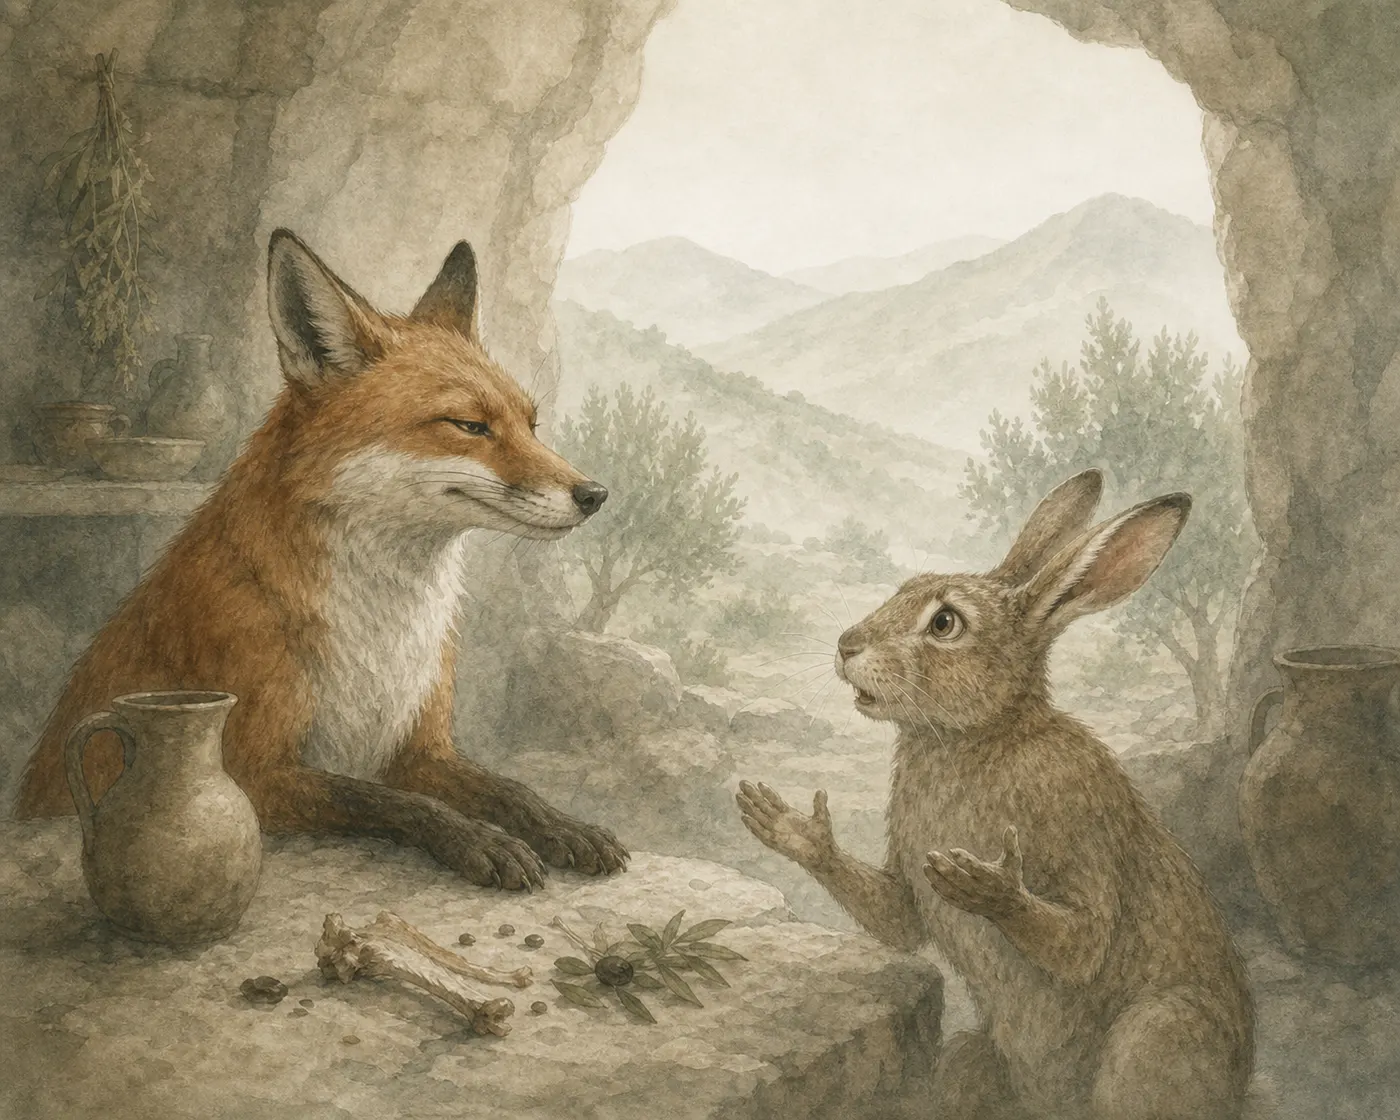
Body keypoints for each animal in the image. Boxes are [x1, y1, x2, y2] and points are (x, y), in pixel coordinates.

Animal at [15, 229, 628, 890]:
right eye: (469, 425)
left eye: (531, 424)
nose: (596, 494)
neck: (380, 630)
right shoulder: (255, 772)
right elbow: (391, 802)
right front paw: (482, 842)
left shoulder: (420, 750)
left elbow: (510, 789)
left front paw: (566, 827)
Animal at [737, 469, 1255, 1120]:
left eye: (944, 624)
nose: (846, 644)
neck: (980, 735)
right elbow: (899, 920)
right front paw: (791, 829)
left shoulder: (1080, 819)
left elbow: (1084, 944)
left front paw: (988, 886)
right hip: (974, 1057)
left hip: (1160, 1034)